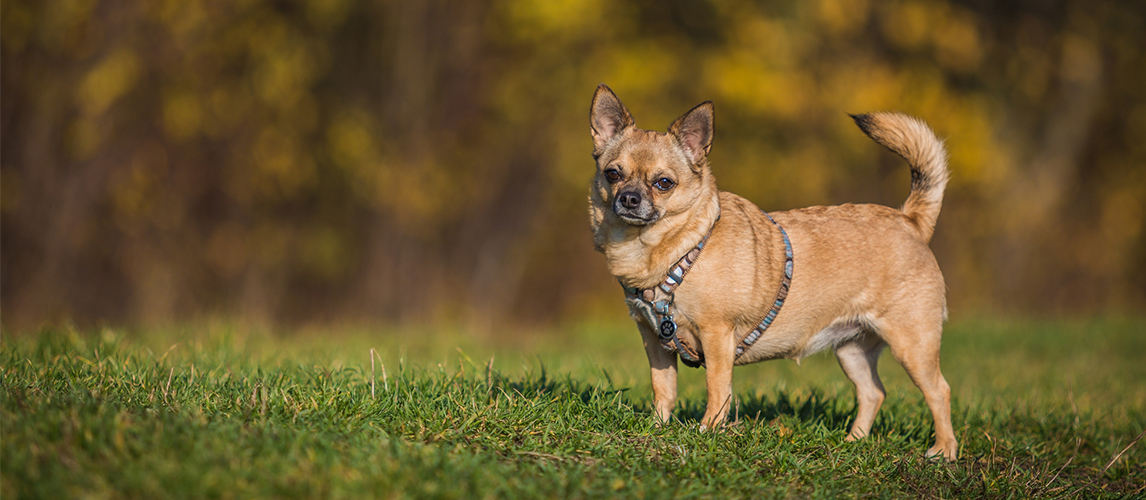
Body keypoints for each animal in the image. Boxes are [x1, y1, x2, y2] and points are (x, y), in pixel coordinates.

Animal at [591, 83, 958, 461]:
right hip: (851, 348)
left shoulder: (716, 335)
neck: (668, 249)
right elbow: (663, 387)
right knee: (873, 392)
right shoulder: (655, 340)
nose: (629, 198)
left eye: (664, 183)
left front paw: (708, 431)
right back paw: (853, 442)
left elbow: (717, 388)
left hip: (912, 344)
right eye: (613, 174)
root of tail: (910, 220)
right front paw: (657, 427)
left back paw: (944, 451)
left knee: (939, 391)